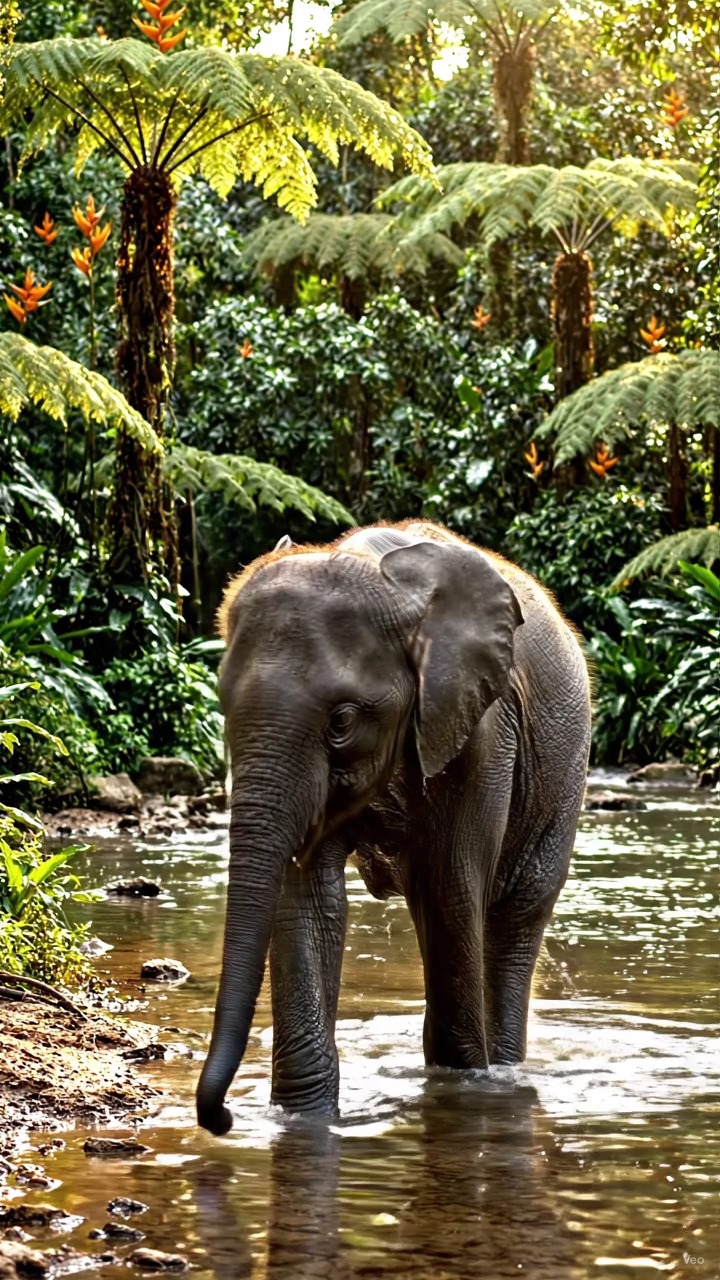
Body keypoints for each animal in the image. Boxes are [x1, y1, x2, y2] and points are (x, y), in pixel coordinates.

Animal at [196, 520, 591, 1136]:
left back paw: (503, 1068)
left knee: (510, 918)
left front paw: (462, 1095)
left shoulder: (481, 732)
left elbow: (452, 891)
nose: (223, 1118)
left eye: (341, 721)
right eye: (222, 711)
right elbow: (307, 900)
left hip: (564, 773)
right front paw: (305, 1121)